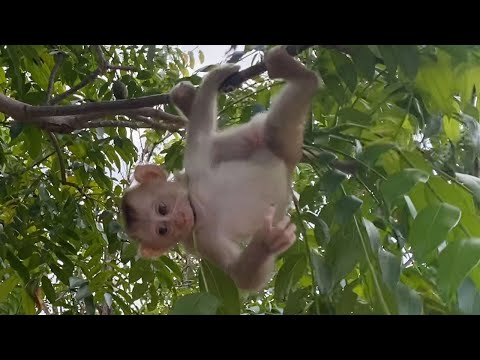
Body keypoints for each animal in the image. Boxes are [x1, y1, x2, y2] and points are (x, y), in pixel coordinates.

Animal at [122, 45, 320, 292]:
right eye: (162, 231)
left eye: (162, 208)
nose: (178, 220)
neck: (197, 205)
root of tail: (288, 170)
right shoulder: (201, 239)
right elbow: (242, 276)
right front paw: (267, 241)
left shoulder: (195, 172)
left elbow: (201, 138)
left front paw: (214, 76)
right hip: (287, 147)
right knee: (275, 130)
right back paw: (304, 77)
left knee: (244, 137)